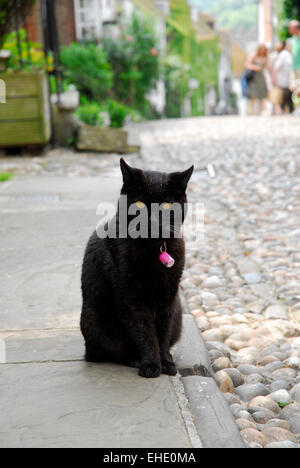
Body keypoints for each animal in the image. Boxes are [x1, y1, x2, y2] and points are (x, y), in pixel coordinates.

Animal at [81, 159, 193, 378]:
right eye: (140, 204)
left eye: (166, 205)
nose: (153, 220)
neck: (153, 247)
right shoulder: (131, 297)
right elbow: (144, 332)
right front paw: (151, 364)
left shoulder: (169, 297)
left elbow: (163, 332)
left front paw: (166, 362)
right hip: (94, 322)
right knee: (109, 350)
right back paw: (133, 359)